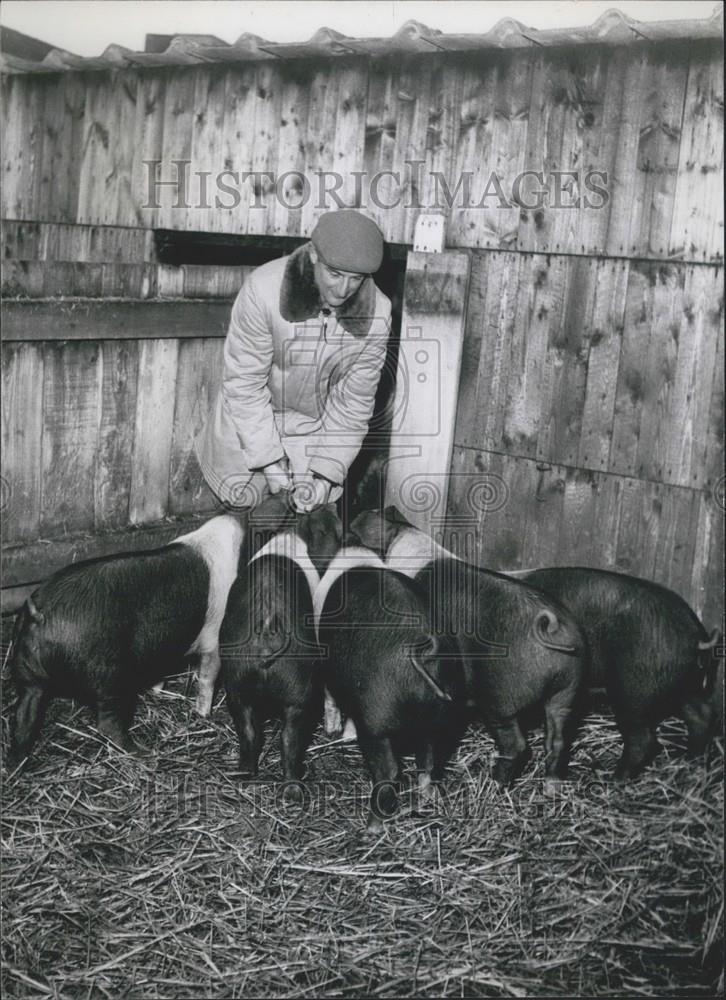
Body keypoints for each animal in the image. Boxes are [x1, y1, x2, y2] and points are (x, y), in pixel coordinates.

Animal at [4, 516, 247, 764]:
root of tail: (38, 614)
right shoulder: (214, 636)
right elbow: (208, 677)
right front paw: (204, 714)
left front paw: (158, 691)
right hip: (111, 675)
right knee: (107, 724)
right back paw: (144, 752)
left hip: (26, 670)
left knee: (23, 719)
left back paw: (16, 764)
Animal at [222, 508, 344, 788]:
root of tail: (268, 632)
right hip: (298, 687)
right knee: (290, 739)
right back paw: (294, 785)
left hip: (237, 678)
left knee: (249, 732)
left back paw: (245, 775)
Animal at [314, 544, 466, 832]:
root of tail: (424, 650)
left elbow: (330, 699)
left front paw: (335, 732)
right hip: (438, 720)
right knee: (428, 765)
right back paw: (429, 801)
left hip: (377, 721)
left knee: (389, 774)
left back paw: (371, 829)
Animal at [350, 512, 588, 784]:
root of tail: (553, 631)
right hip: (568, 689)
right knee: (558, 741)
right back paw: (551, 785)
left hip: (500, 695)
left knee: (516, 746)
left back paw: (496, 782)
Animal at [512, 568, 724, 776]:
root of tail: (696, 636)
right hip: (683, 684)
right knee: (702, 715)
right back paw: (693, 765)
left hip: (633, 687)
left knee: (643, 739)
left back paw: (615, 777)